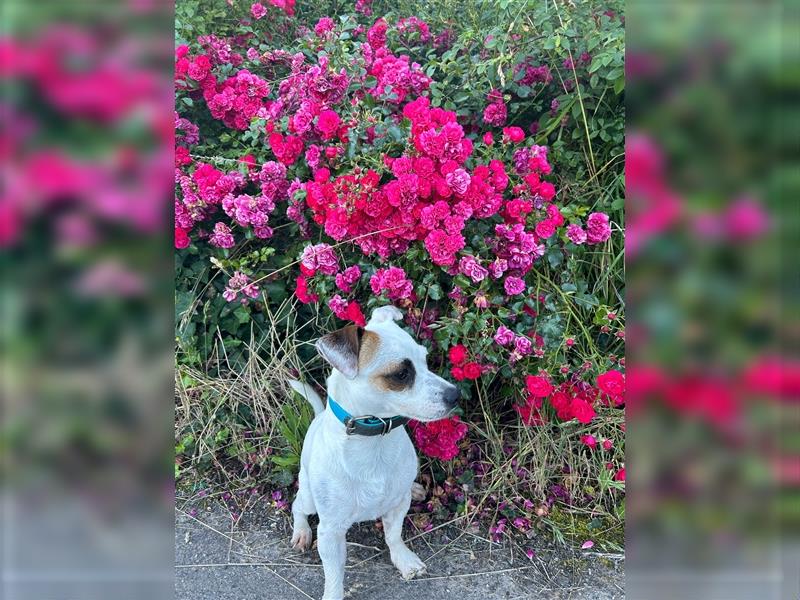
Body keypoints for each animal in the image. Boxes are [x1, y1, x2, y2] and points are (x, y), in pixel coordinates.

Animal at [290, 308, 460, 596]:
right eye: (401, 374)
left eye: (425, 360)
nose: (455, 394)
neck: (374, 442)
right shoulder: (331, 531)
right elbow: (334, 575)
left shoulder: (398, 505)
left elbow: (393, 535)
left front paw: (403, 559)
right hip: (310, 497)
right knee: (296, 506)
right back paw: (301, 531)